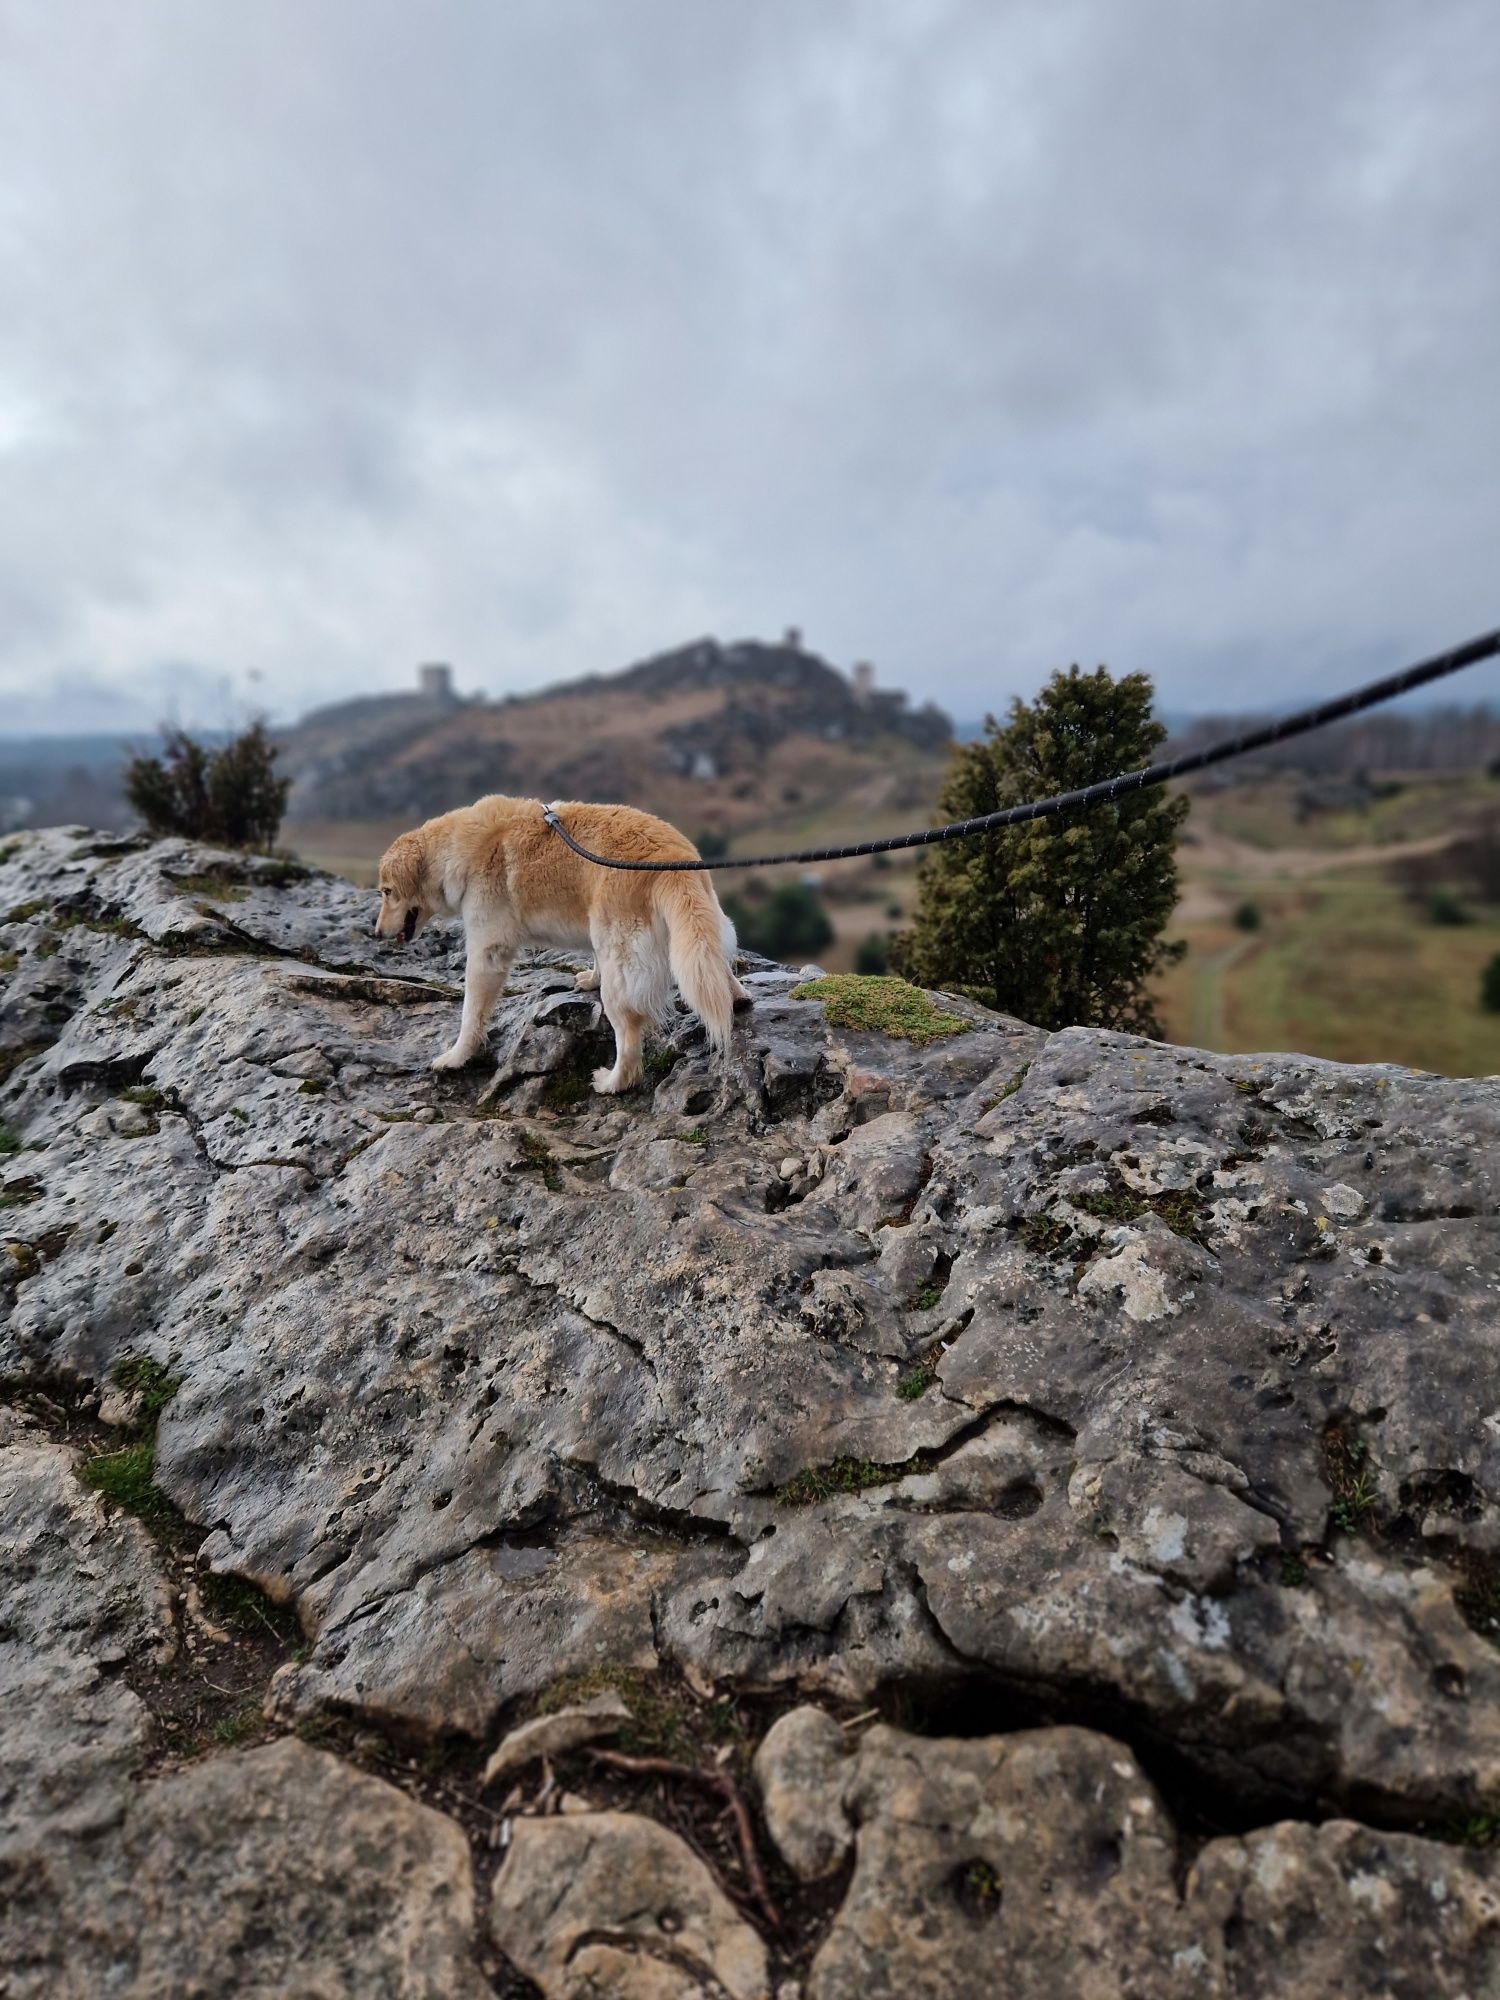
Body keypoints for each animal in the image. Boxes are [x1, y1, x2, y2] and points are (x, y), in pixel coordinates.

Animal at [376, 792, 752, 1088]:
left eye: (387, 891)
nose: (376, 933)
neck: (457, 850)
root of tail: (670, 858)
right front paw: (590, 978)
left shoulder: (487, 949)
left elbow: (471, 1012)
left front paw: (456, 1056)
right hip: (692, 925)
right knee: (712, 966)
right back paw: (736, 996)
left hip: (622, 971)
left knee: (629, 1038)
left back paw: (612, 1082)